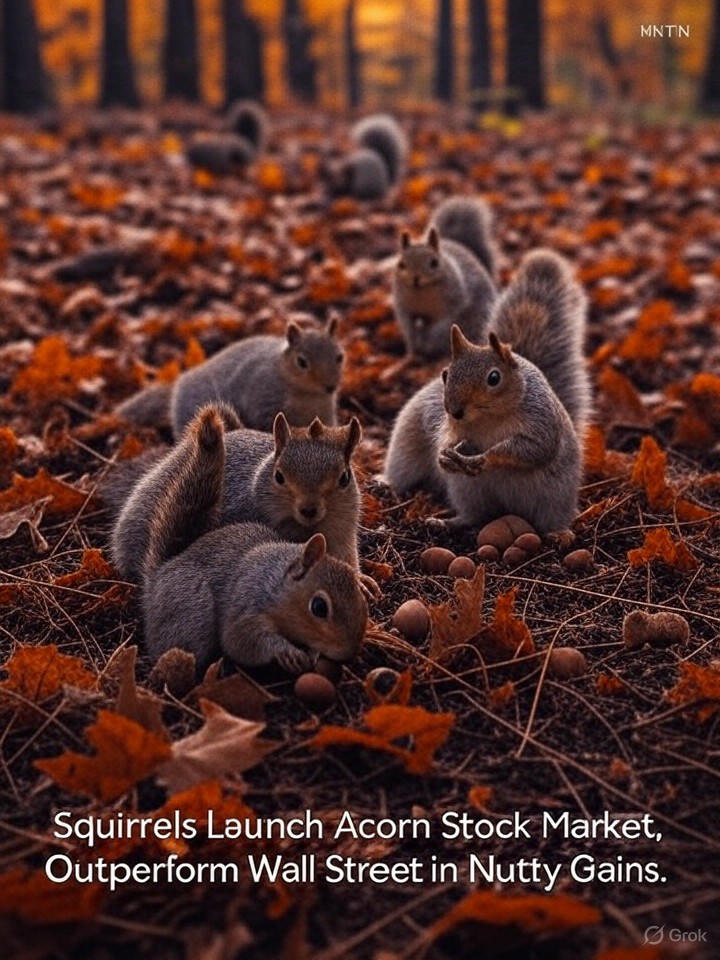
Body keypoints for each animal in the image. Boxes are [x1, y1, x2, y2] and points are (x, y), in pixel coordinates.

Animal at [115, 315, 343, 436]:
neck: (308, 395)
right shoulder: (264, 397)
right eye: (301, 362)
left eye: (340, 356)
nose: (330, 386)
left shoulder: (324, 412)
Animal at [142, 406, 367, 673]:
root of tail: (159, 574)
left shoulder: (342, 533)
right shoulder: (246, 606)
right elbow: (242, 638)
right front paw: (287, 651)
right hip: (193, 610)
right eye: (279, 476)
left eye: (344, 478)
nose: (309, 510)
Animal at [384, 249, 589, 536]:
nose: (455, 411)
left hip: (554, 499)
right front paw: (445, 455)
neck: (489, 419)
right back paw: (446, 521)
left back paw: (560, 534)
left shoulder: (541, 421)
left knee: (552, 520)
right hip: (467, 491)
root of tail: (510, 509)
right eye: (445, 374)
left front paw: (484, 458)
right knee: (475, 516)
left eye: (494, 378)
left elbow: (533, 449)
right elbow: (450, 440)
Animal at [393, 196, 498, 359]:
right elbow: (407, 323)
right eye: (401, 264)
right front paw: (413, 347)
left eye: (434, 262)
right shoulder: (403, 304)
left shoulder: (455, 298)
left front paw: (433, 336)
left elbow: (448, 320)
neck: (421, 292)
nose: (416, 279)